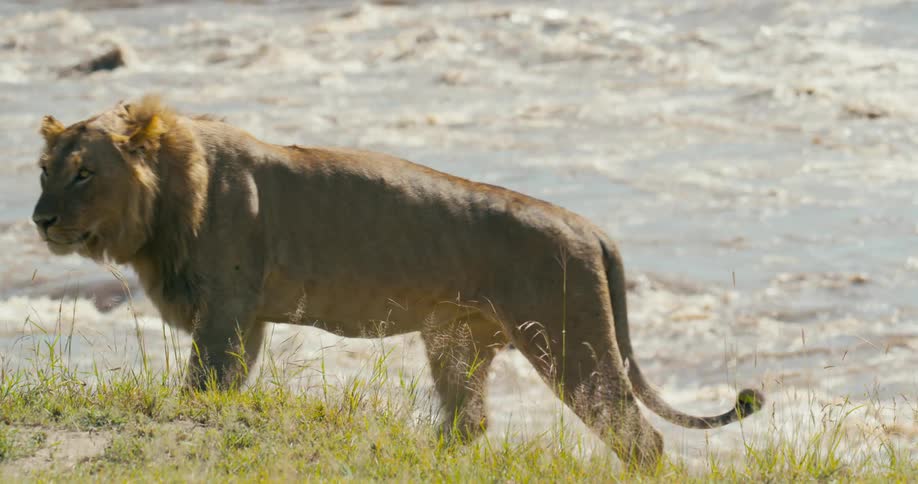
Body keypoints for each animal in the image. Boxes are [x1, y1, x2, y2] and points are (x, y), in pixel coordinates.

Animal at [32, 95, 763, 468]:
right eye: (44, 171)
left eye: (84, 173)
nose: (39, 219)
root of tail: (590, 226)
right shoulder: (247, 319)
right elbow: (223, 390)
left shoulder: (226, 313)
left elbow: (203, 390)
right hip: (457, 339)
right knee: (468, 423)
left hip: (568, 342)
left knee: (637, 436)